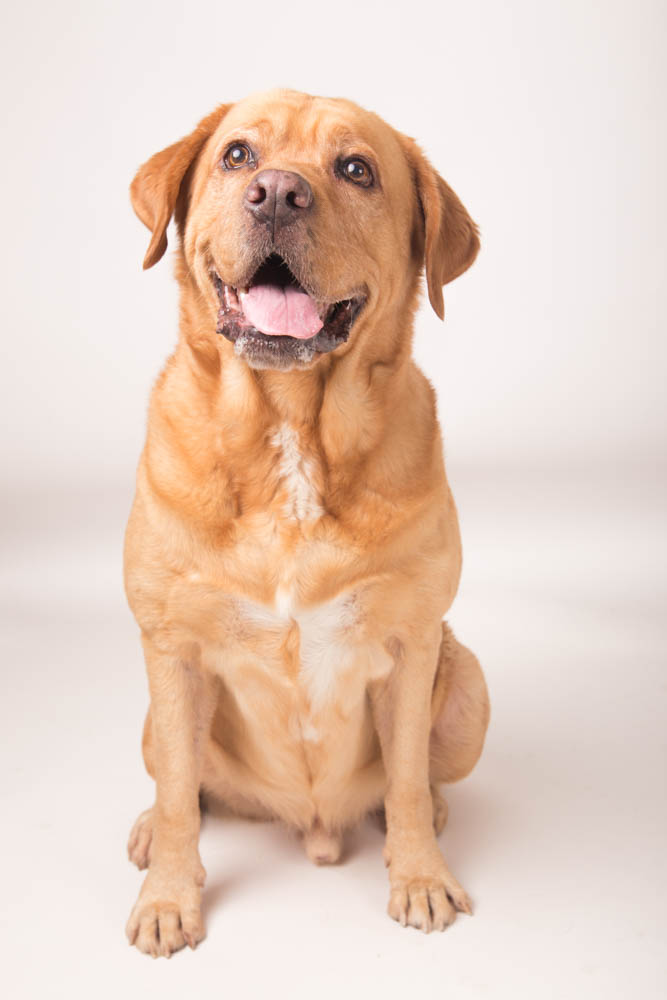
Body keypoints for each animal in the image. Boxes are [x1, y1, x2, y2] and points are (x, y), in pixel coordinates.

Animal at [125, 90, 490, 956]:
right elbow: (183, 796)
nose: (278, 194)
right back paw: (151, 829)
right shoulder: (171, 648)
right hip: (154, 719)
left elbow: (404, 783)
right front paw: (169, 898)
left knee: (421, 779)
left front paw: (419, 876)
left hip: (467, 688)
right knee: (180, 783)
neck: (291, 431)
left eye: (355, 169)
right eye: (237, 157)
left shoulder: (413, 644)